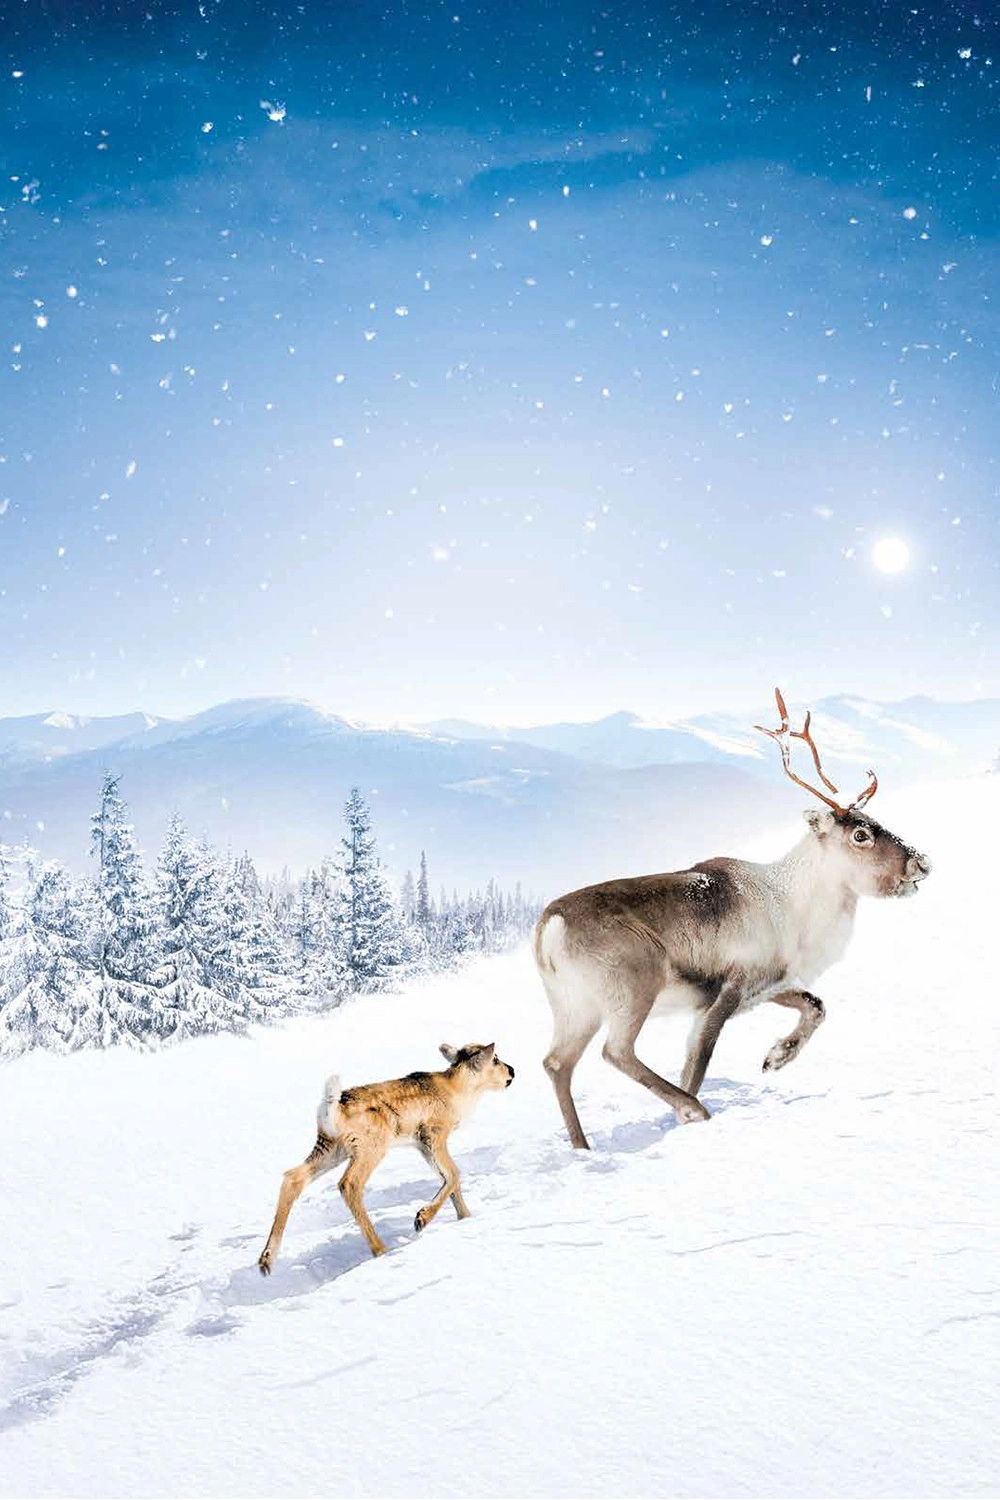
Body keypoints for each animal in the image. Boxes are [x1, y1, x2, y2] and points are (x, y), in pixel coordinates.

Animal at [258, 1042, 515, 1270]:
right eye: (495, 1059)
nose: (512, 1071)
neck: (459, 1091)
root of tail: (331, 1108)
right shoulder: (435, 1133)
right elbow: (454, 1173)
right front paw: (421, 1218)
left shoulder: (421, 1144)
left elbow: (450, 1180)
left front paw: (465, 1216)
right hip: (371, 1147)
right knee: (348, 1184)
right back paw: (380, 1249)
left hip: (331, 1148)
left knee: (293, 1177)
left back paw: (266, 1260)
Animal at [534, 688, 932, 1149]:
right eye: (861, 834)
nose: (922, 863)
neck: (796, 907)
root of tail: (549, 928)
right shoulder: (727, 988)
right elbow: (698, 1061)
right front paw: (687, 1115)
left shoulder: (767, 984)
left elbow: (816, 1006)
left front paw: (776, 1058)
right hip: (630, 989)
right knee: (615, 1051)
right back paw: (691, 1109)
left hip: (573, 1006)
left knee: (557, 1063)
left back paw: (583, 1147)